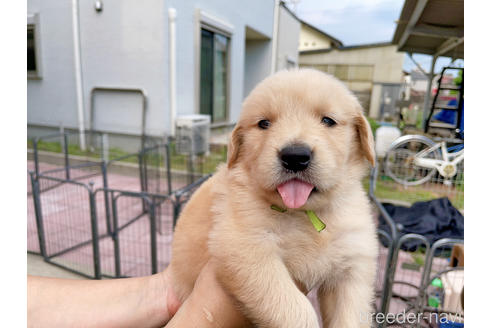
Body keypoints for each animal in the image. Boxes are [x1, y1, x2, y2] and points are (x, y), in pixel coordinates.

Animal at [168, 68, 376, 326]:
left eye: (328, 120)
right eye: (264, 123)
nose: (295, 156)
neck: (305, 214)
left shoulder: (352, 267)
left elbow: (350, 315)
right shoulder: (245, 247)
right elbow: (294, 309)